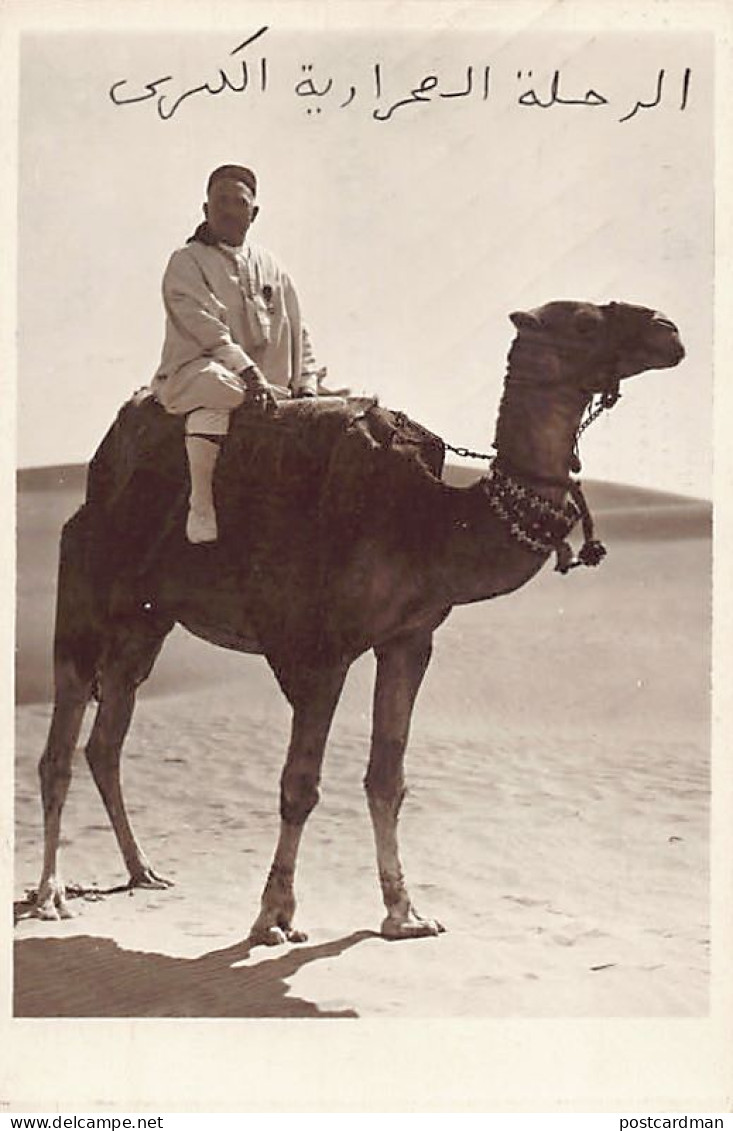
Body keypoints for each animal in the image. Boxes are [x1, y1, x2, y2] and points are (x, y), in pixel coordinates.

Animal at [34, 300, 683, 945]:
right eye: (585, 322)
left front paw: (405, 913)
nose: (668, 330)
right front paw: (274, 916)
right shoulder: (317, 651)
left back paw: (143, 871)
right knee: (61, 743)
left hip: (145, 625)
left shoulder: (409, 640)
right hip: (85, 590)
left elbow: (387, 779)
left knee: (107, 740)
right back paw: (50, 895)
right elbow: (300, 785)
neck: (431, 520)